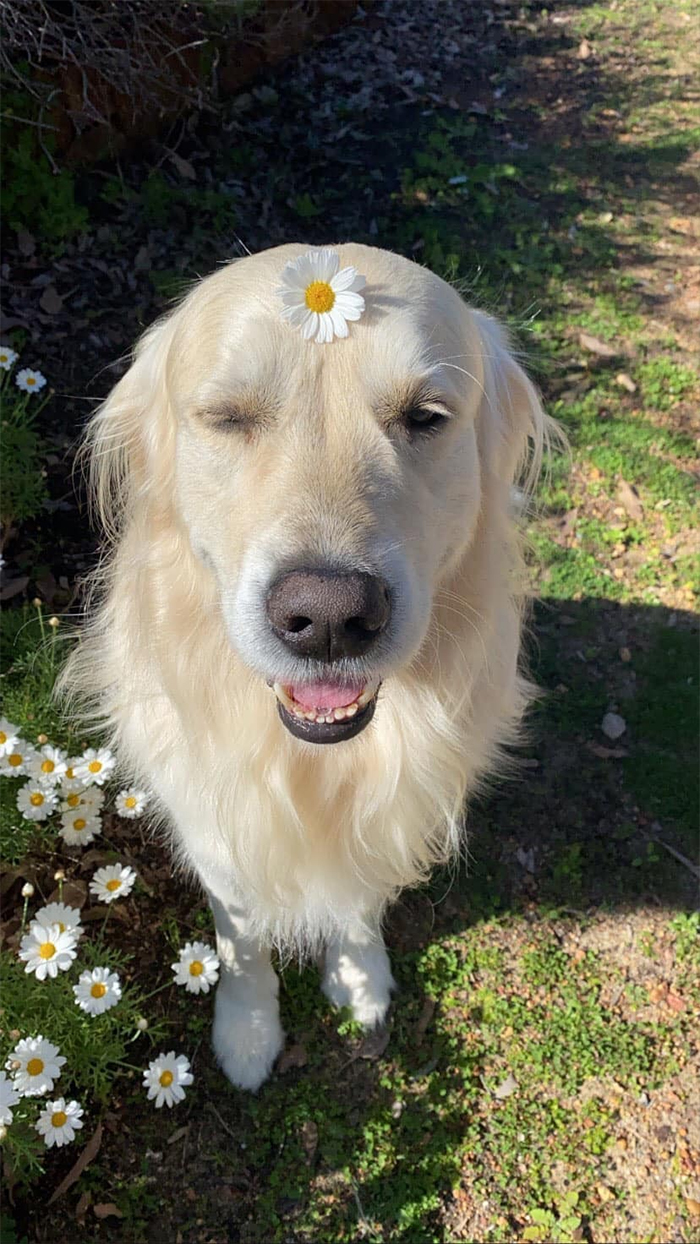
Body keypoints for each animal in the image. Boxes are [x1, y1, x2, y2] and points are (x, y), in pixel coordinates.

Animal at [61, 242, 554, 1089]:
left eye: (426, 417)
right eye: (229, 417)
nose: (328, 617)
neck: (315, 762)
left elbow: (357, 900)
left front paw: (358, 980)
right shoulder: (214, 825)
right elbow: (239, 939)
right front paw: (248, 1028)